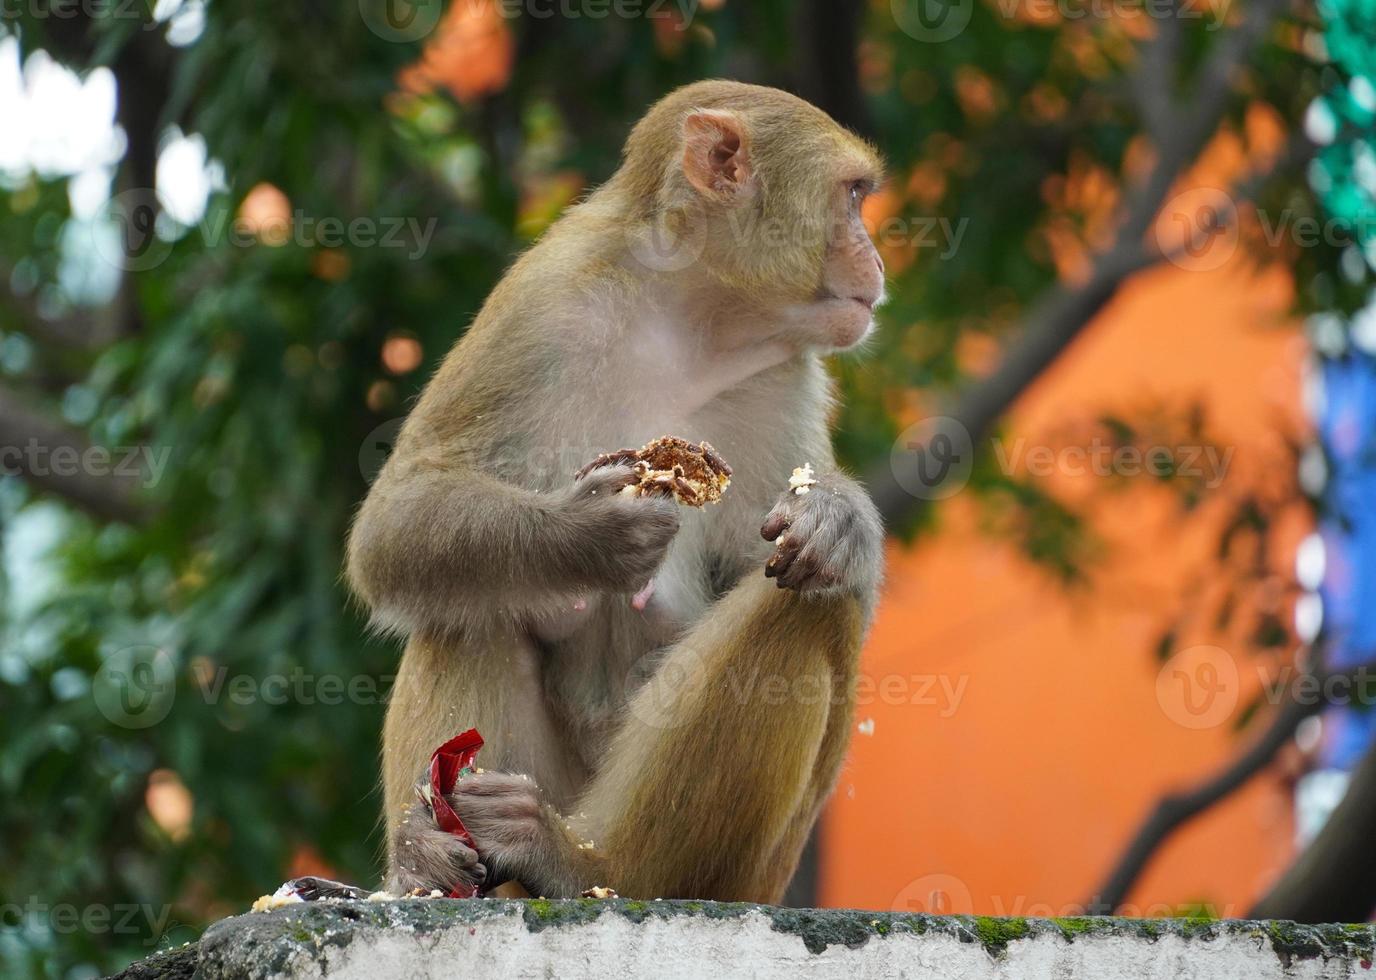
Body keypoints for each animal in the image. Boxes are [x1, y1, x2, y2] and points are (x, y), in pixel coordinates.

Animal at [349, 78, 886, 902]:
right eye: (853, 196)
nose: (878, 256)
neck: (690, 322)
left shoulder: (787, 376)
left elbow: (779, 563)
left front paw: (840, 516)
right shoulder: (543, 301)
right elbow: (399, 515)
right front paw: (589, 536)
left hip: (742, 875)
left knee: (810, 603)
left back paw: (586, 866)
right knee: (469, 598)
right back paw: (432, 855)